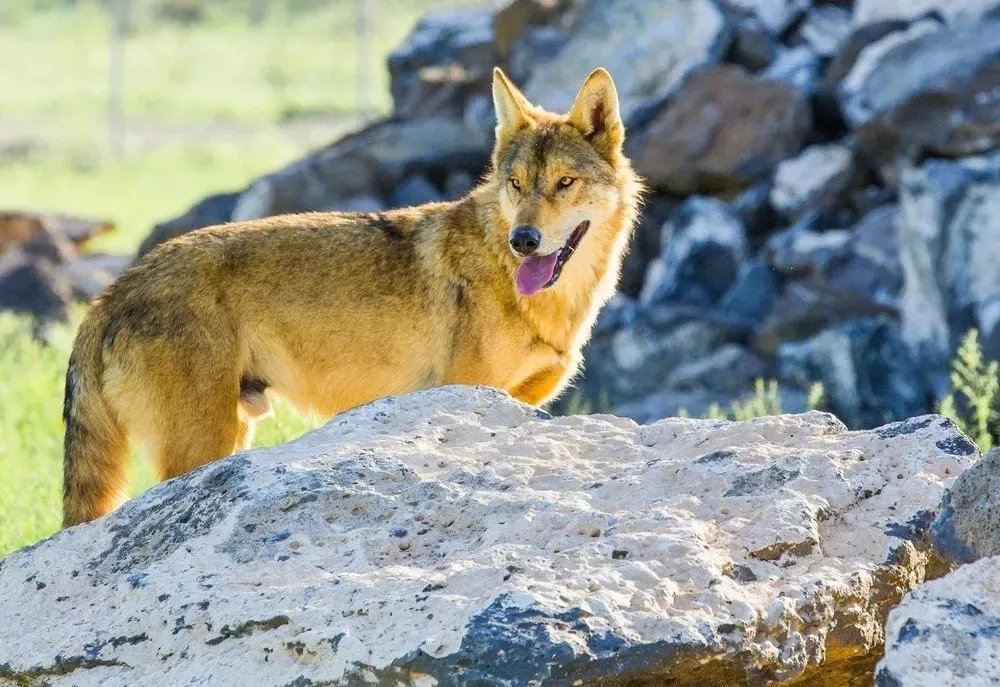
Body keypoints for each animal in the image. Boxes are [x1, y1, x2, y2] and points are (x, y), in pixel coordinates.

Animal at [60, 67, 640, 524]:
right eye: (516, 184)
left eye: (564, 183)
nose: (524, 240)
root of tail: (112, 292)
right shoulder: (466, 393)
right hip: (205, 446)